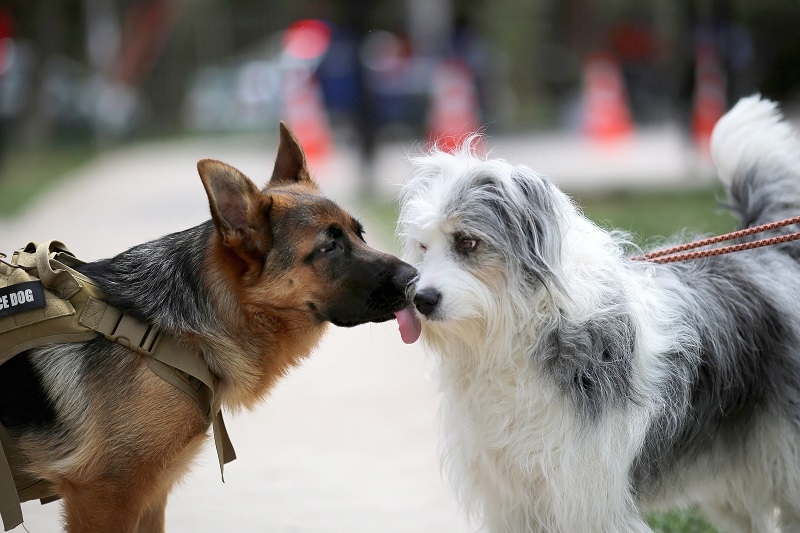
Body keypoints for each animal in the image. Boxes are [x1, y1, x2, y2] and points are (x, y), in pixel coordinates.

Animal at [0, 123, 416, 532]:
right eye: (329, 248)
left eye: (360, 234)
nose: (414, 279)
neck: (163, 335)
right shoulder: (103, 497)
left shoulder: (150, 497)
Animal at [394, 96, 800, 532]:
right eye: (423, 247)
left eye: (467, 242)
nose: (422, 299)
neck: (520, 335)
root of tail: (766, 248)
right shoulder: (514, 500)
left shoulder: (587, 498)